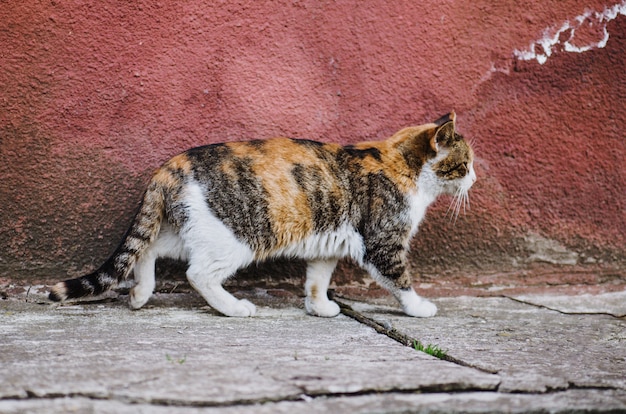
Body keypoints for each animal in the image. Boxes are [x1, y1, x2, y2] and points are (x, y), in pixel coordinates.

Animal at [48, 111, 476, 318]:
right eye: (465, 163)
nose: (475, 177)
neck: (399, 163)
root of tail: (170, 166)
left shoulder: (328, 244)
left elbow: (317, 280)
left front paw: (320, 308)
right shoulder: (383, 243)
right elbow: (400, 280)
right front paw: (419, 308)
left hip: (191, 227)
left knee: (148, 247)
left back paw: (139, 294)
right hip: (232, 237)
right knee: (197, 274)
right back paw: (235, 309)